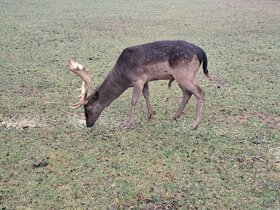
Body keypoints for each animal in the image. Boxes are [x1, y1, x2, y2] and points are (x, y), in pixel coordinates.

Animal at [66, 39, 209, 129]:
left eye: (88, 109)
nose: (88, 124)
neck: (124, 76)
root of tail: (201, 52)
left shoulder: (138, 80)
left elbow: (134, 100)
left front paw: (127, 124)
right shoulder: (145, 80)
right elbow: (146, 95)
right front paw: (151, 114)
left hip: (184, 75)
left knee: (200, 91)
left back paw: (195, 124)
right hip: (180, 77)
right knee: (187, 93)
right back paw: (174, 116)